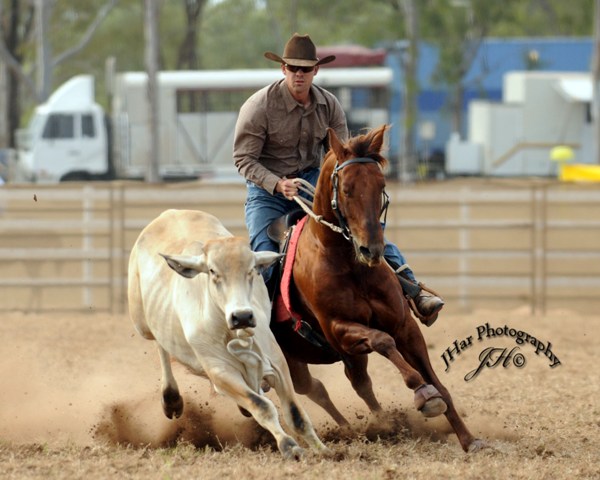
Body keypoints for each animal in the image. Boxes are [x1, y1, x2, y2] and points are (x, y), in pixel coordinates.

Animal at [127, 209, 329, 459]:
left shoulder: (277, 363)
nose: (241, 316)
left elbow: (295, 414)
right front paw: (289, 446)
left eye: (252, 270)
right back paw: (171, 400)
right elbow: (262, 407)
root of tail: (170, 213)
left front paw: (324, 449)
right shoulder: (221, 372)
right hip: (142, 324)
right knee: (160, 345)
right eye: (213, 271)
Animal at [270, 124, 485, 452]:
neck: (350, 265)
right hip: (292, 358)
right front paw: (423, 394)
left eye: (381, 185)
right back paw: (356, 427)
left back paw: (379, 423)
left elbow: (436, 381)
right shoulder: (339, 330)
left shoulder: (405, 326)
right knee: (314, 387)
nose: (371, 249)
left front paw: (468, 439)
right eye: (346, 189)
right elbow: (384, 342)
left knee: (353, 384)